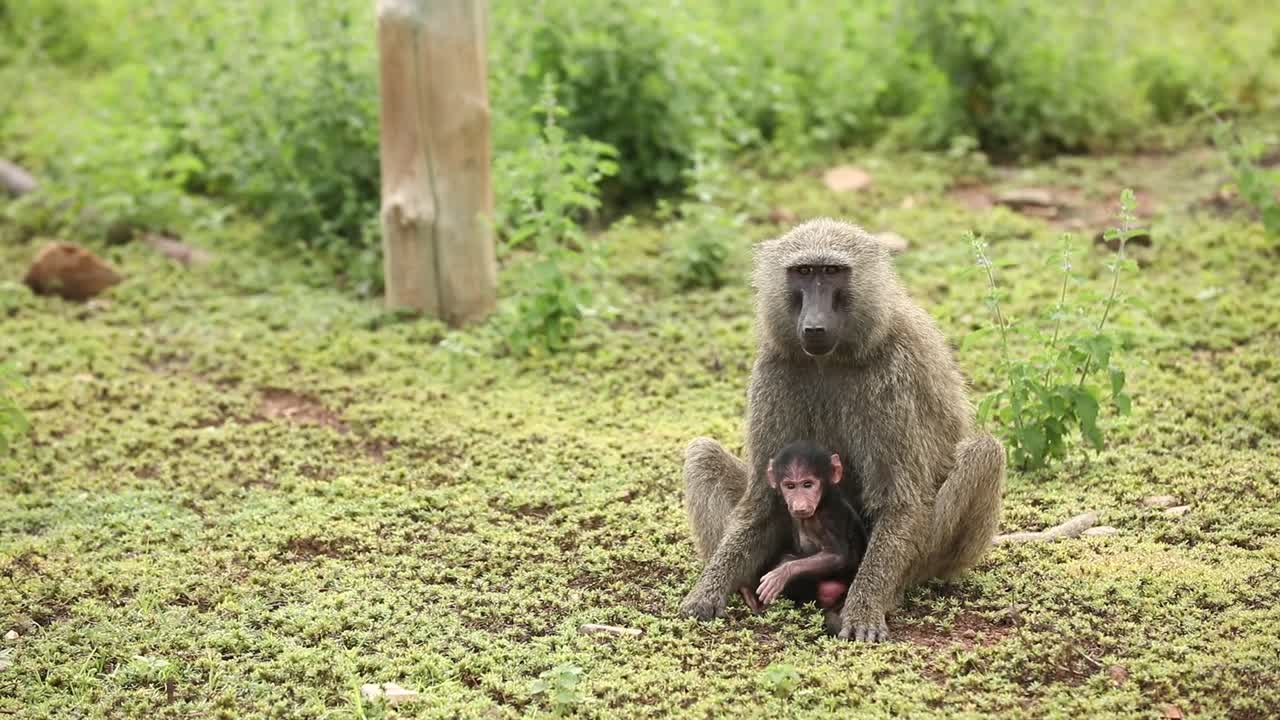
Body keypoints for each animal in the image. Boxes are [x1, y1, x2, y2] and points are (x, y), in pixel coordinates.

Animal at [679, 218, 1005, 642]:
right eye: (804, 272)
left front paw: (864, 609)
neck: (834, 357)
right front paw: (708, 591)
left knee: (985, 452)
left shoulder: (891, 373)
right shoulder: (774, 365)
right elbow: (763, 502)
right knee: (701, 453)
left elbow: (899, 502)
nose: (814, 326)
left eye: (832, 272)